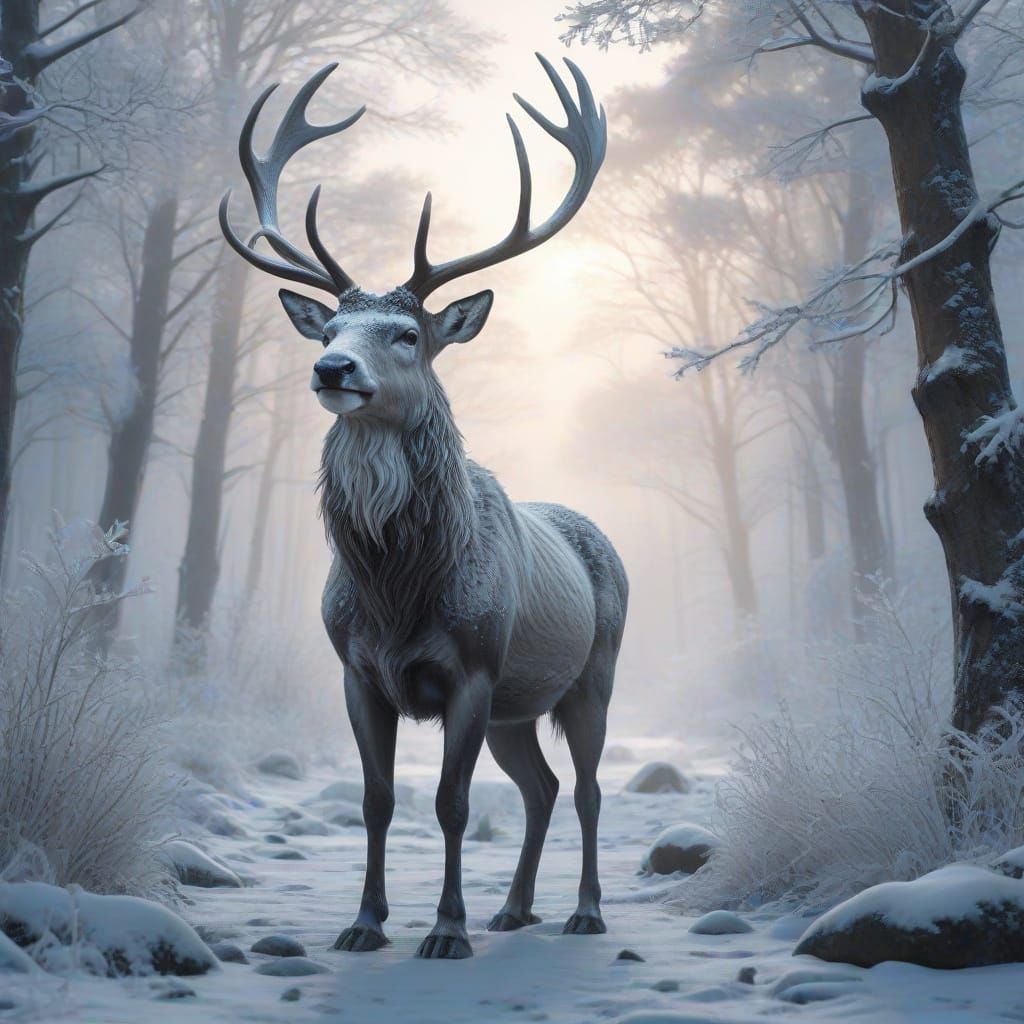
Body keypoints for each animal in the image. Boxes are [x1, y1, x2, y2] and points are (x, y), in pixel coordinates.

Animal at [220, 56, 627, 960]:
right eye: (327, 328)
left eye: (407, 336)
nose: (332, 369)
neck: (398, 589)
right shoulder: (356, 670)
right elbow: (377, 801)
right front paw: (365, 922)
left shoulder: (472, 666)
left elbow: (450, 803)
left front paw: (445, 929)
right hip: (519, 703)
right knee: (542, 786)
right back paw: (515, 908)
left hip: (596, 669)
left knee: (586, 788)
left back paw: (584, 912)